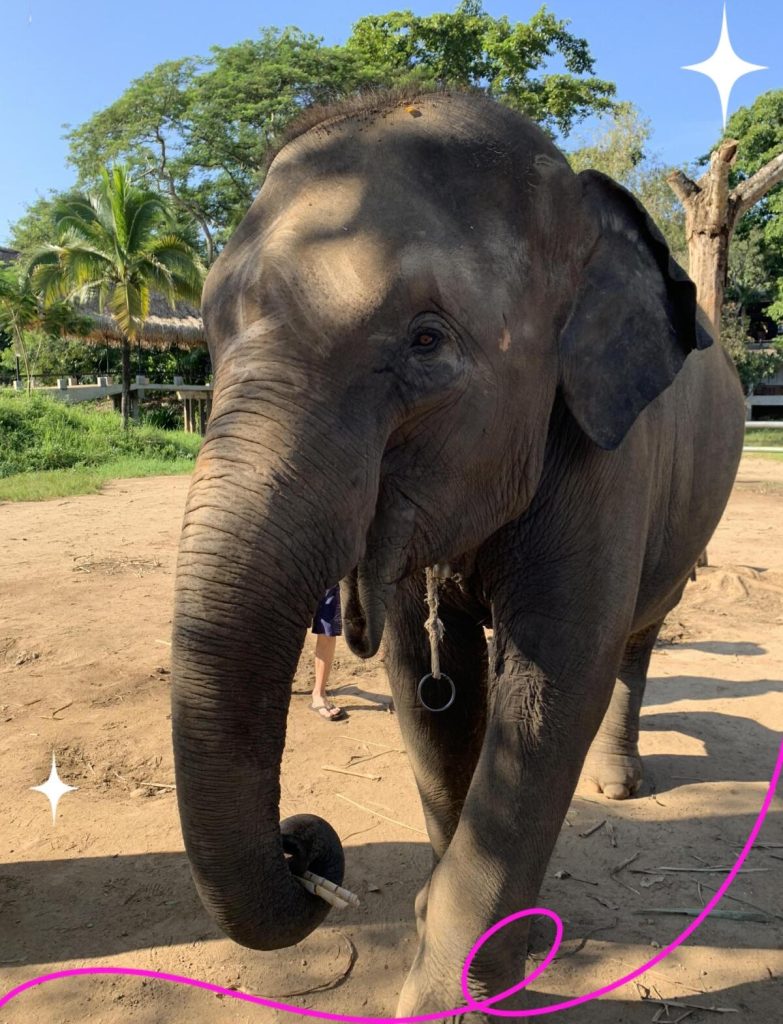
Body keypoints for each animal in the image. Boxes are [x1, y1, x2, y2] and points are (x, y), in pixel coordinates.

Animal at [171, 89, 745, 1018]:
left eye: (426, 342)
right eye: (213, 331)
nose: (305, 845)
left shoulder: (604, 456)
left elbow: (550, 691)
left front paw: (451, 996)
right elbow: (429, 693)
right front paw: (428, 916)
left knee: (635, 636)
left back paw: (617, 786)